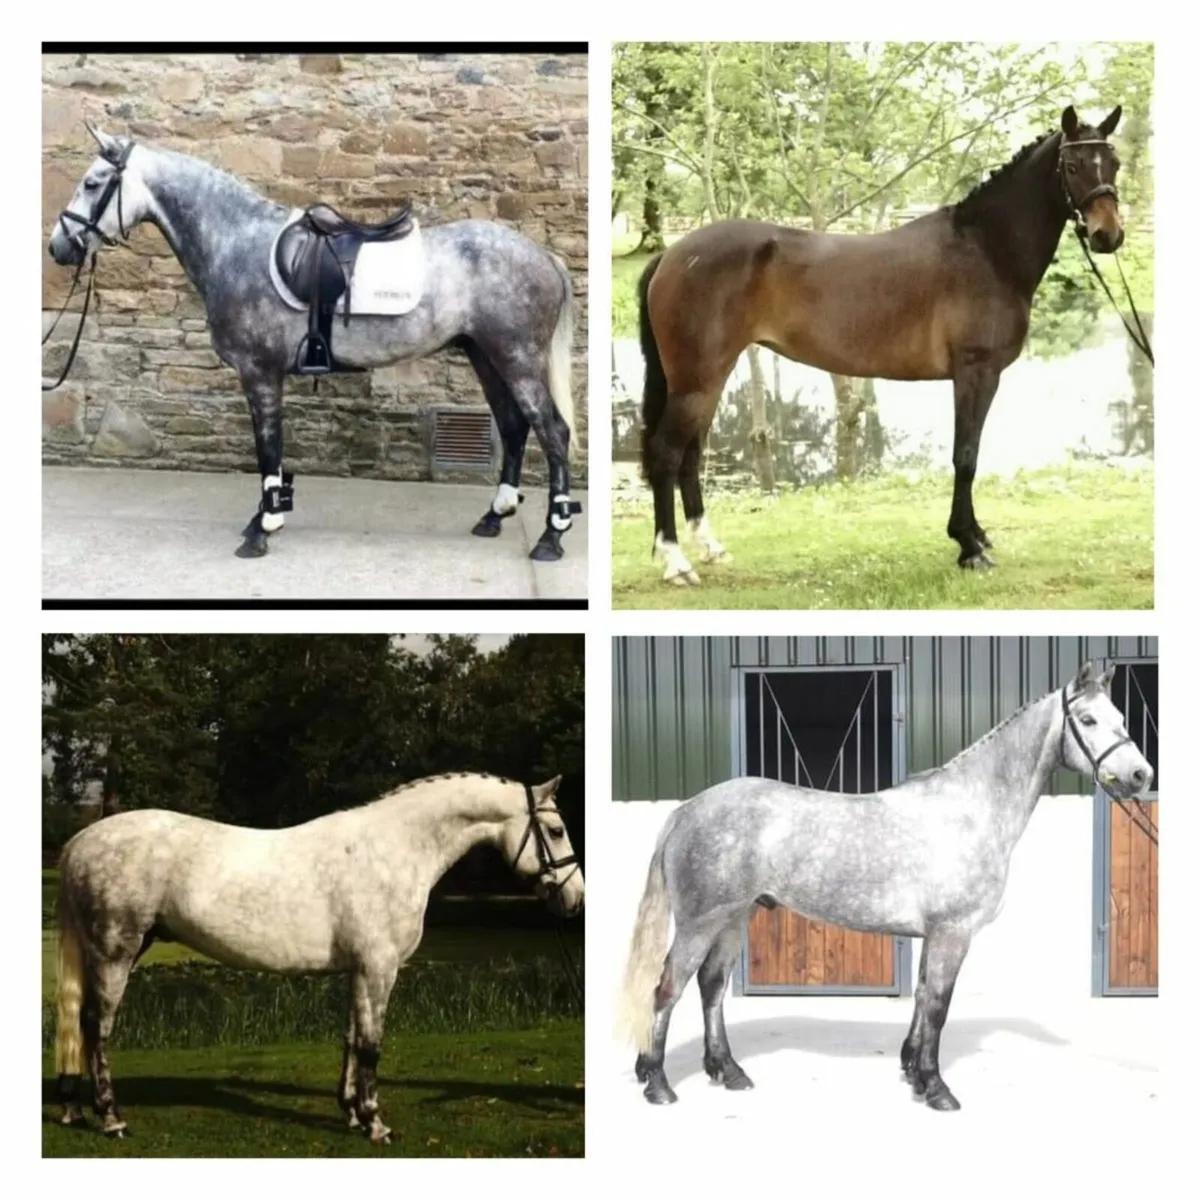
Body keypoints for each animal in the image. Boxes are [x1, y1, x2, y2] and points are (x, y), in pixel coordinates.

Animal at [46, 125, 582, 562]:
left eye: (93, 182)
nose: (59, 246)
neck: (237, 243)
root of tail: (543, 256)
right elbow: (272, 451)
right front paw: (263, 518)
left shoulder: (259, 372)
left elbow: (268, 446)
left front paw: (263, 529)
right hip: (485, 354)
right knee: (514, 426)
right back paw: (495, 515)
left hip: (515, 357)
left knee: (552, 431)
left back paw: (551, 538)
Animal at [52, 773, 584, 1143]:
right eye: (556, 829)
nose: (575, 899)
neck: (395, 849)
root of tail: (79, 842)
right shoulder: (379, 968)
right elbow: (371, 1045)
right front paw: (375, 1124)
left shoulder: (358, 970)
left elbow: (350, 1038)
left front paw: (350, 1113)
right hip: (116, 952)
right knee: (97, 1026)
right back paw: (111, 1119)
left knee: (78, 1023)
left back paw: (74, 1109)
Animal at [615, 661, 1150, 1111]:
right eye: (1087, 720)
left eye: (1121, 716)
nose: (1141, 775)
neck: (972, 809)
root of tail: (686, 810)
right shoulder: (953, 932)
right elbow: (937, 1006)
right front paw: (938, 1090)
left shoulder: (934, 935)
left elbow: (922, 997)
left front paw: (914, 1072)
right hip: (700, 923)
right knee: (667, 988)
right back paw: (658, 1084)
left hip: (735, 916)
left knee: (711, 986)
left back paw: (728, 1072)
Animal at [637, 104, 1127, 584]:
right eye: (1072, 165)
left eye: (1114, 163)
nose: (1108, 234)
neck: (985, 250)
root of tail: (672, 254)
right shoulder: (976, 372)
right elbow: (966, 456)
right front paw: (968, 546)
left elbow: (968, 454)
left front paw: (976, 536)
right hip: (697, 381)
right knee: (667, 454)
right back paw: (676, 562)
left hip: (706, 380)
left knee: (690, 455)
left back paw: (710, 548)